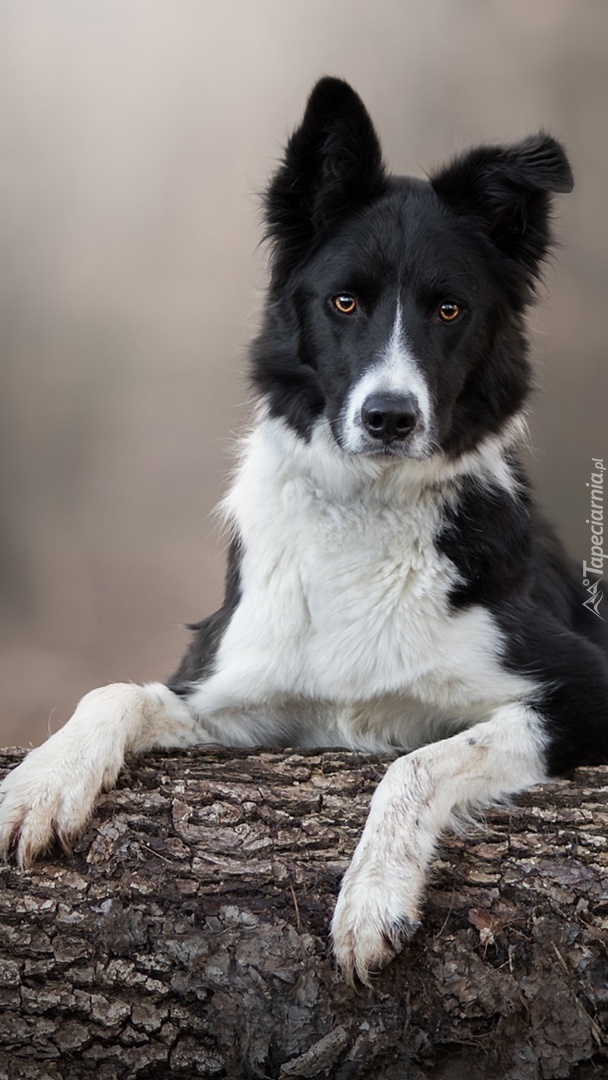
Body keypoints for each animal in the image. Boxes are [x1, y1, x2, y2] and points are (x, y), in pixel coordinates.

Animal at [1, 79, 608, 984]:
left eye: (449, 309)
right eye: (344, 301)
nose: (390, 417)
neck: (366, 507)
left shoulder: (582, 687)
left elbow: (414, 762)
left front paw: (372, 899)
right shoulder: (237, 690)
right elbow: (117, 691)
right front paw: (46, 782)